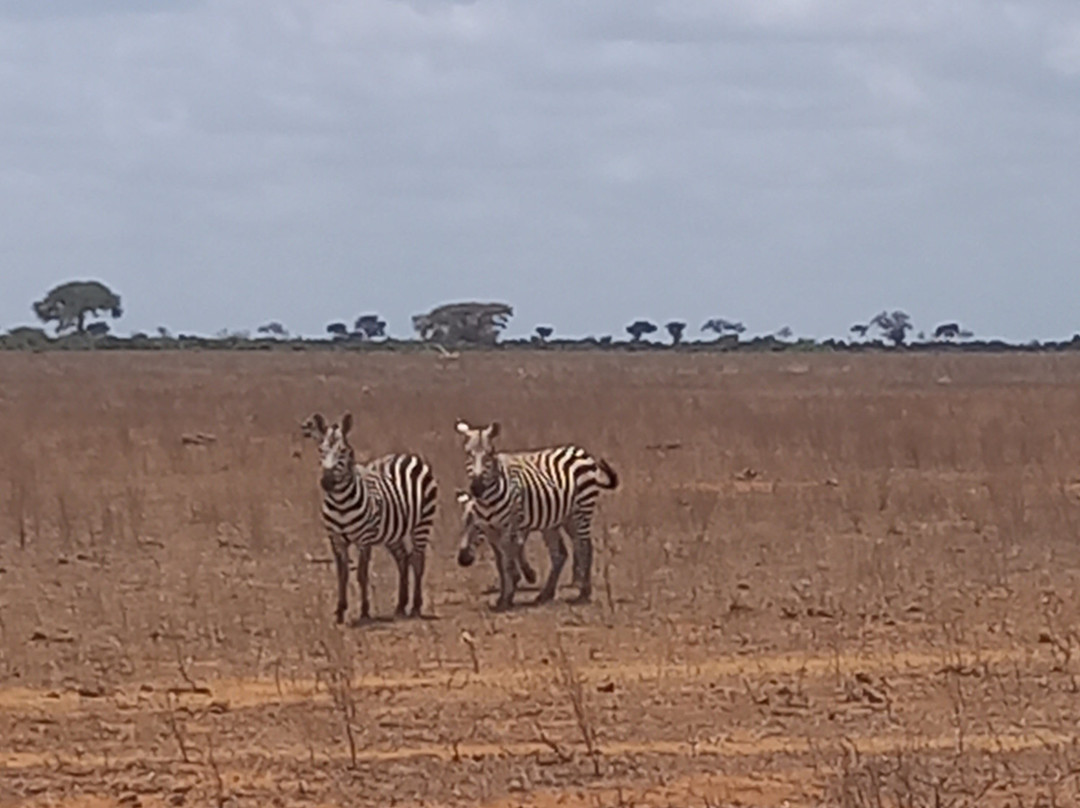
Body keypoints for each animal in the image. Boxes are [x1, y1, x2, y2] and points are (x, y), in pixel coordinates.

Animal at [302, 412, 438, 624]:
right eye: (321, 450)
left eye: (343, 451)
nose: (327, 482)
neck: (341, 503)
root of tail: (406, 455)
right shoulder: (336, 539)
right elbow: (342, 575)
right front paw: (340, 611)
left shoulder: (363, 539)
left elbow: (362, 575)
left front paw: (365, 611)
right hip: (394, 532)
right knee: (403, 559)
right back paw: (401, 606)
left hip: (422, 524)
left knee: (417, 561)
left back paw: (415, 606)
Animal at [455, 420, 618, 611]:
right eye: (468, 453)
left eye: (489, 454)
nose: (477, 488)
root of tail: (579, 450)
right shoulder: (492, 531)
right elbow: (500, 563)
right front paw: (505, 594)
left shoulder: (511, 526)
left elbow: (509, 560)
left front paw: (509, 595)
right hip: (562, 519)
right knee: (563, 553)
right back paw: (547, 594)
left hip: (582, 511)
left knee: (584, 547)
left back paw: (583, 594)